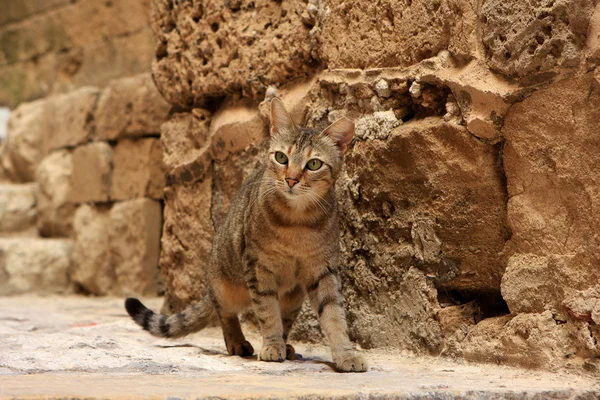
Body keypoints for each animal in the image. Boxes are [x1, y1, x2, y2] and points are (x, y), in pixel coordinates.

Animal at [126, 98, 368, 374]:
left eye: (314, 164)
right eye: (281, 157)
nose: (291, 179)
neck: (298, 221)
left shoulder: (323, 270)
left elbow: (333, 314)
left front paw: (346, 353)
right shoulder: (258, 266)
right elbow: (268, 312)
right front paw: (271, 345)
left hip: (294, 295)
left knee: (285, 317)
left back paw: (287, 346)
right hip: (225, 286)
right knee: (225, 313)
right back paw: (238, 342)